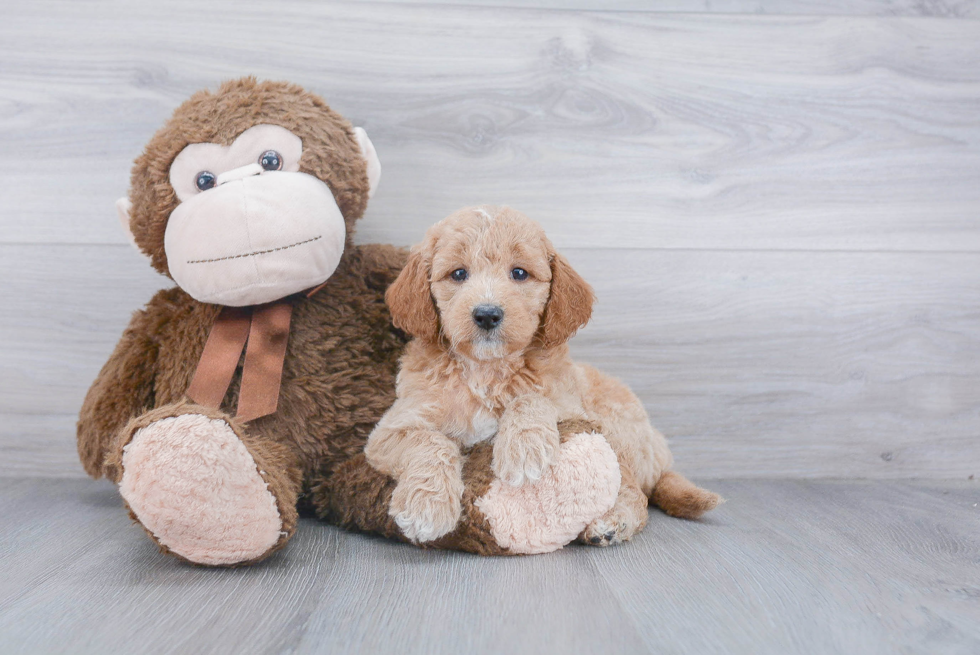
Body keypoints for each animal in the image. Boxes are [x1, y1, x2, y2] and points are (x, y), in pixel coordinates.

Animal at [368, 208, 720, 544]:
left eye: (519, 273)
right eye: (458, 274)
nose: (487, 314)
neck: (488, 368)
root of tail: (660, 452)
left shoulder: (570, 405)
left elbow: (532, 397)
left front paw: (523, 448)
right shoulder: (391, 429)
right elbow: (430, 441)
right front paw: (426, 507)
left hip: (616, 431)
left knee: (635, 491)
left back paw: (613, 523)